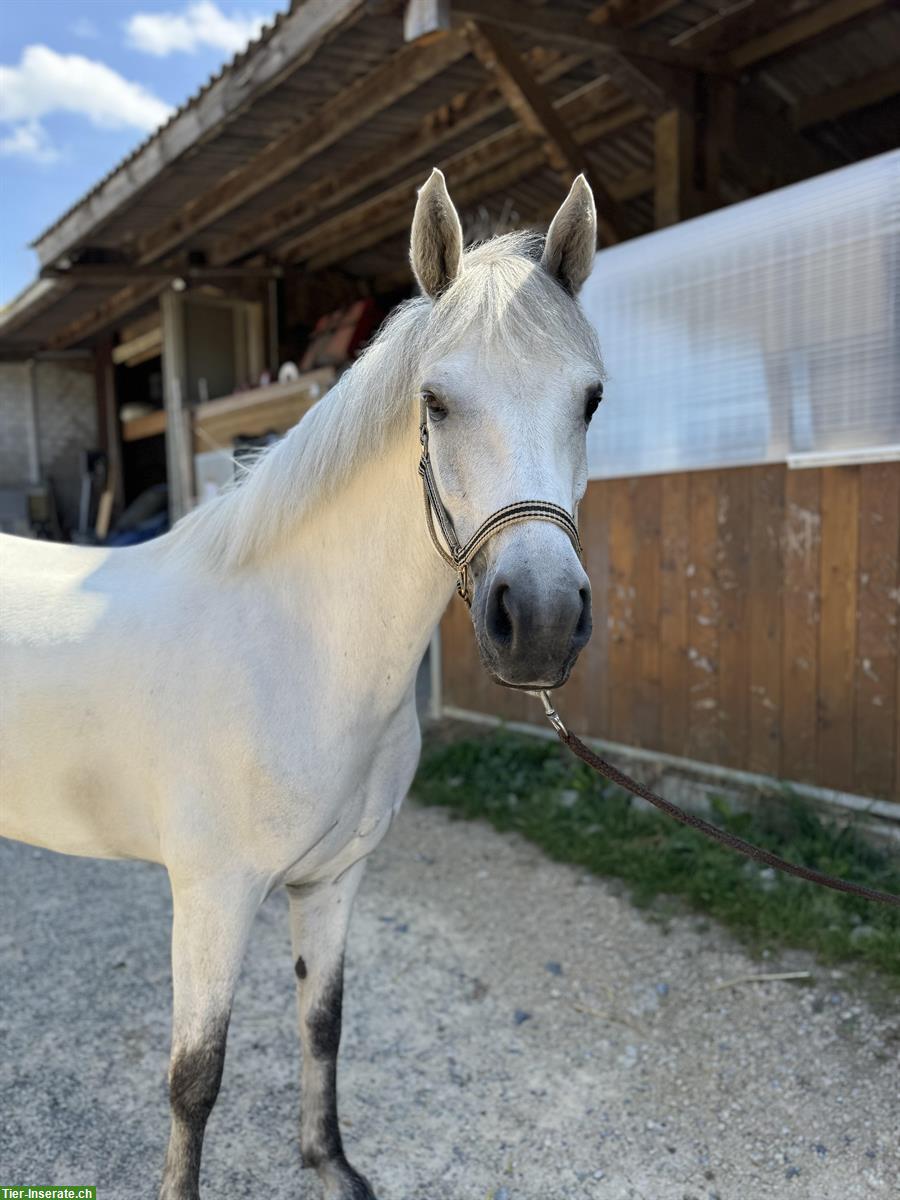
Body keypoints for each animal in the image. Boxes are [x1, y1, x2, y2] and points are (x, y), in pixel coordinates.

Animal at [1, 171, 607, 1200]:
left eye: (592, 401)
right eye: (435, 401)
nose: (540, 621)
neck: (298, 654)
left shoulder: (331, 881)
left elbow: (322, 1021)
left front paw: (330, 1165)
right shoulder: (211, 895)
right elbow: (195, 1080)